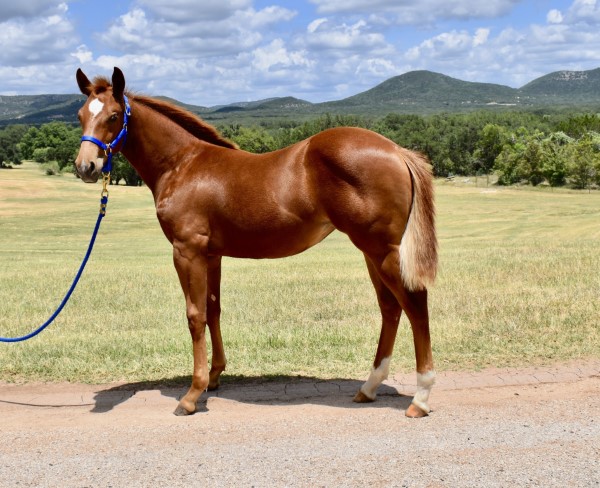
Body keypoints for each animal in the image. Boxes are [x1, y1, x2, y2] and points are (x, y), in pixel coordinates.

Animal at [76, 66, 440, 418]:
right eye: (80, 115)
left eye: (113, 116)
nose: (86, 166)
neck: (182, 164)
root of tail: (396, 150)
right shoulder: (212, 255)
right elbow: (213, 309)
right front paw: (215, 376)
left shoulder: (187, 251)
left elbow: (195, 316)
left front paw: (192, 394)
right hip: (370, 251)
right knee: (390, 307)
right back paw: (369, 387)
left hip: (381, 250)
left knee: (414, 303)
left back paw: (420, 398)